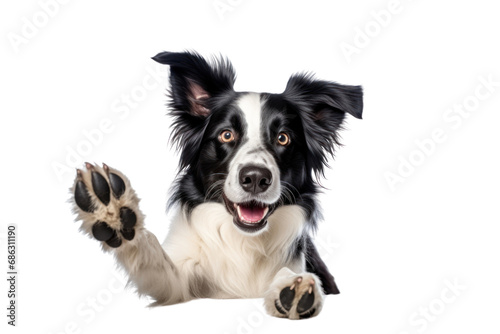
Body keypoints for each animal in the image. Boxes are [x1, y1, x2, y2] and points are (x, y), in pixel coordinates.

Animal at [71, 51, 364, 320]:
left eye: (283, 138)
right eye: (226, 135)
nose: (255, 178)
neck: (244, 242)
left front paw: (294, 288)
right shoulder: (180, 278)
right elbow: (157, 264)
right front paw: (113, 212)